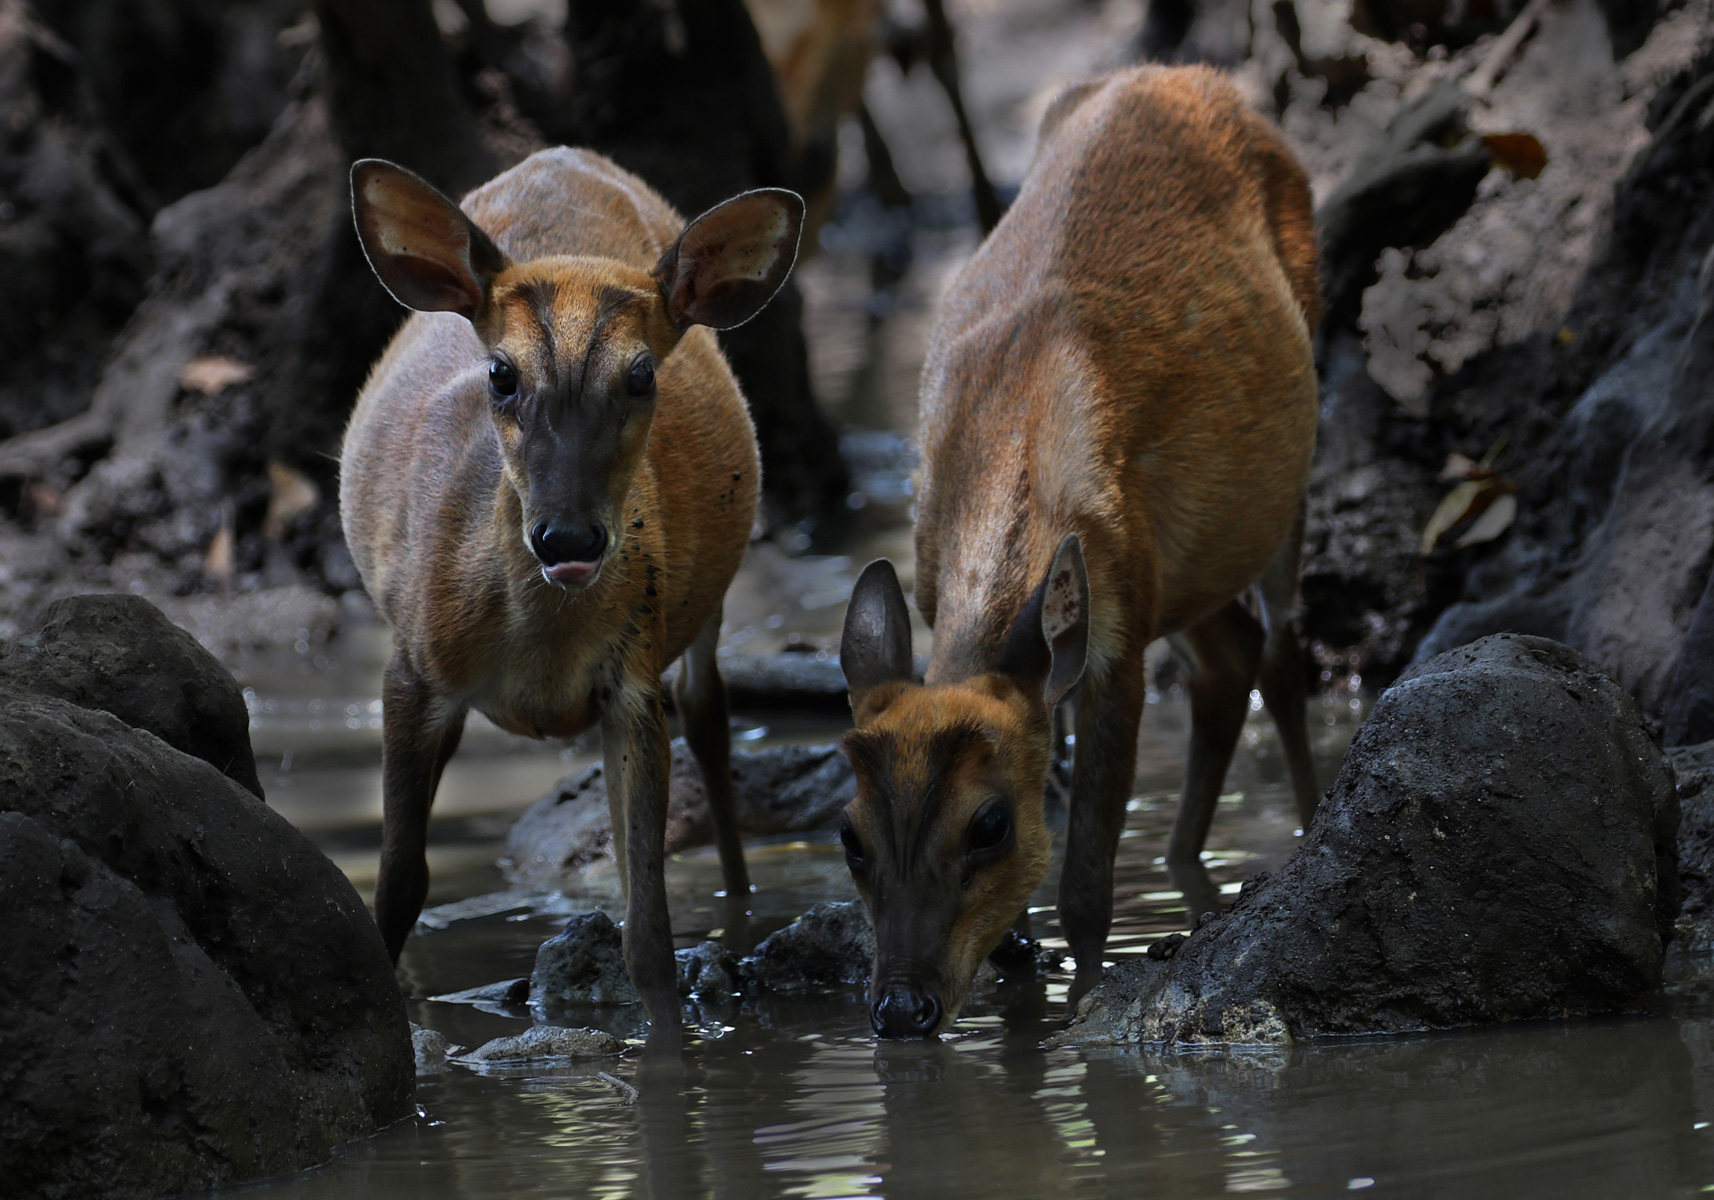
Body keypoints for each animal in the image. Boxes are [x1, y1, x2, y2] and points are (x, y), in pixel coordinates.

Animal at [344, 145, 805, 1021]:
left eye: (642, 376)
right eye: (500, 373)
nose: (568, 537)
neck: (540, 661)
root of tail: (566, 155)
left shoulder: (631, 681)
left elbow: (650, 935)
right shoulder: (412, 667)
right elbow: (396, 889)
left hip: (701, 608)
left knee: (709, 715)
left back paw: (738, 907)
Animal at [839, 65, 1323, 1035]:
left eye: (989, 825)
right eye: (850, 839)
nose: (901, 1009)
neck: (1012, 433)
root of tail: (1185, 76)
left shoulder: (1117, 638)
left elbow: (1087, 886)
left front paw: (1082, 1008)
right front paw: (1021, 979)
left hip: (1286, 467)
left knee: (1284, 653)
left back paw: (1305, 833)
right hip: (1186, 565)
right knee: (1230, 662)